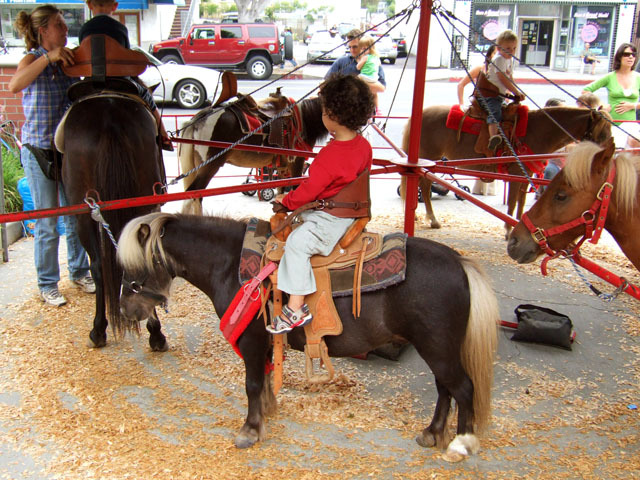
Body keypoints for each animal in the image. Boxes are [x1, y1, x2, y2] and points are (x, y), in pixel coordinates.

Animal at [178, 94, 328, 214]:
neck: (303, 119)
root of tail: (197, 120)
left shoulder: (282, 168)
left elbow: (281, 193)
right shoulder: (296, 162)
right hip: (209, 166)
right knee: (195, 195)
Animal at [402, 107, 612, 238]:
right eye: (602, 132)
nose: (608, 158)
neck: (536, 132)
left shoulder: (526, 176)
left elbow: (521, 202)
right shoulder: (516, 175)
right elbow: (511, 202)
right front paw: (509, 230)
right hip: (427, 158)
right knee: (425, 186)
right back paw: (433, 220)